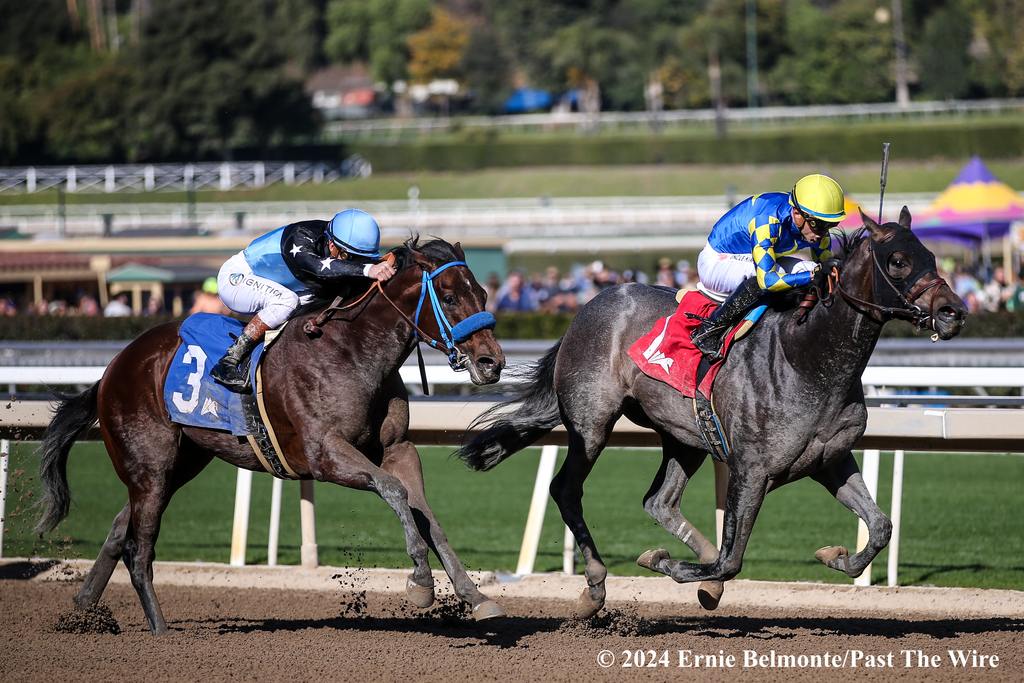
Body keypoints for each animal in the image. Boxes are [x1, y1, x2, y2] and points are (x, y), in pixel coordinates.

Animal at [36, 237, 507, 634]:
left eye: (483, 295)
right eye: (448, 296)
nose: (492, 363)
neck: (352, 351)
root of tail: (113, 368)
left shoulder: (398, 448)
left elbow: (426, 515)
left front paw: (475, 596)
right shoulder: (325, 454)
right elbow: (393, 491)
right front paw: (421, 582)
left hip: (179, 463)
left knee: (121, 529)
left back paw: (82, 609)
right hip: (150, 465)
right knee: (140, 549)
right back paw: (161, 632)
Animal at [460, 206, 962, 614]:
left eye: (933, 258)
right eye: (898, 261)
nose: (953, 311)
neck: (807, 357)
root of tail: (588, 307)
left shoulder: (830, 459)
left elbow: (880, 527)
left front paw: (835, 556)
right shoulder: (752, 469)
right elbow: (731, 559)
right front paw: (670, 564)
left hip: (685, 436)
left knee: (659, 501)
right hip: (592, 423)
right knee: (566, 488)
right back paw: (597, 587)